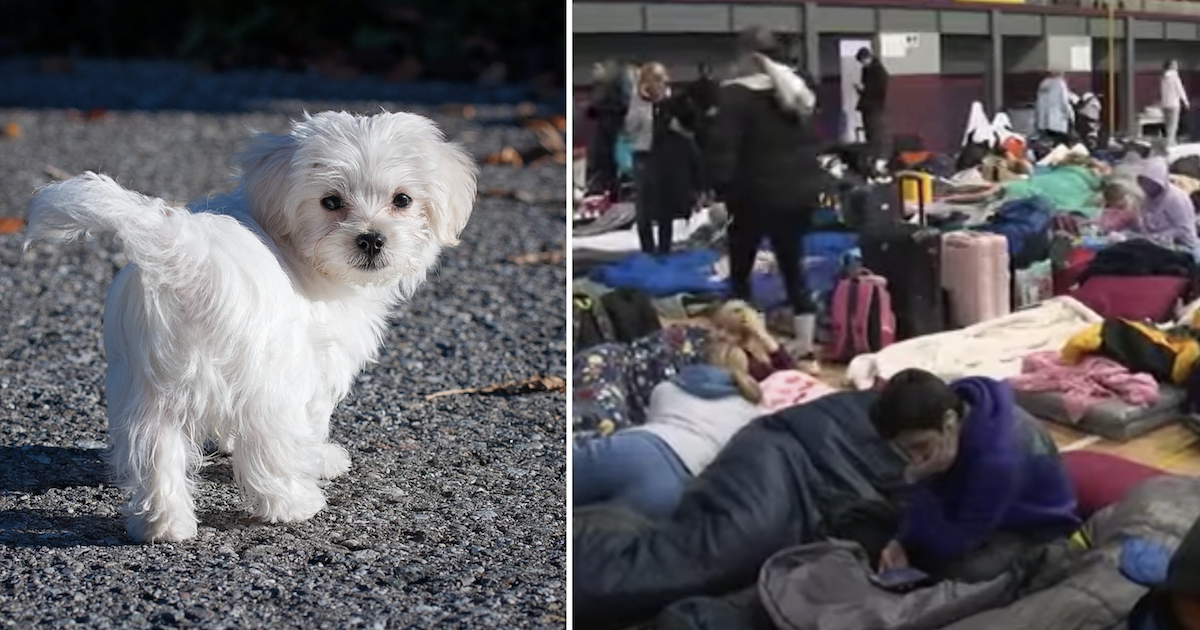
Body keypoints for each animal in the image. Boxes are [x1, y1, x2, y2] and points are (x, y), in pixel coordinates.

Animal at [22, 110, 477, 542]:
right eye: (330, 202)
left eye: (403, 199)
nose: (371, 239)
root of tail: (187, 258)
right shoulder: (315, 364)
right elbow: (312, 422)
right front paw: (321, 459)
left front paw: (226, 444)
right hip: (267, 380)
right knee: (267, 449)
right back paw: (294, 504)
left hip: (147, 387)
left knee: (155, 452)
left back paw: (163, 526)